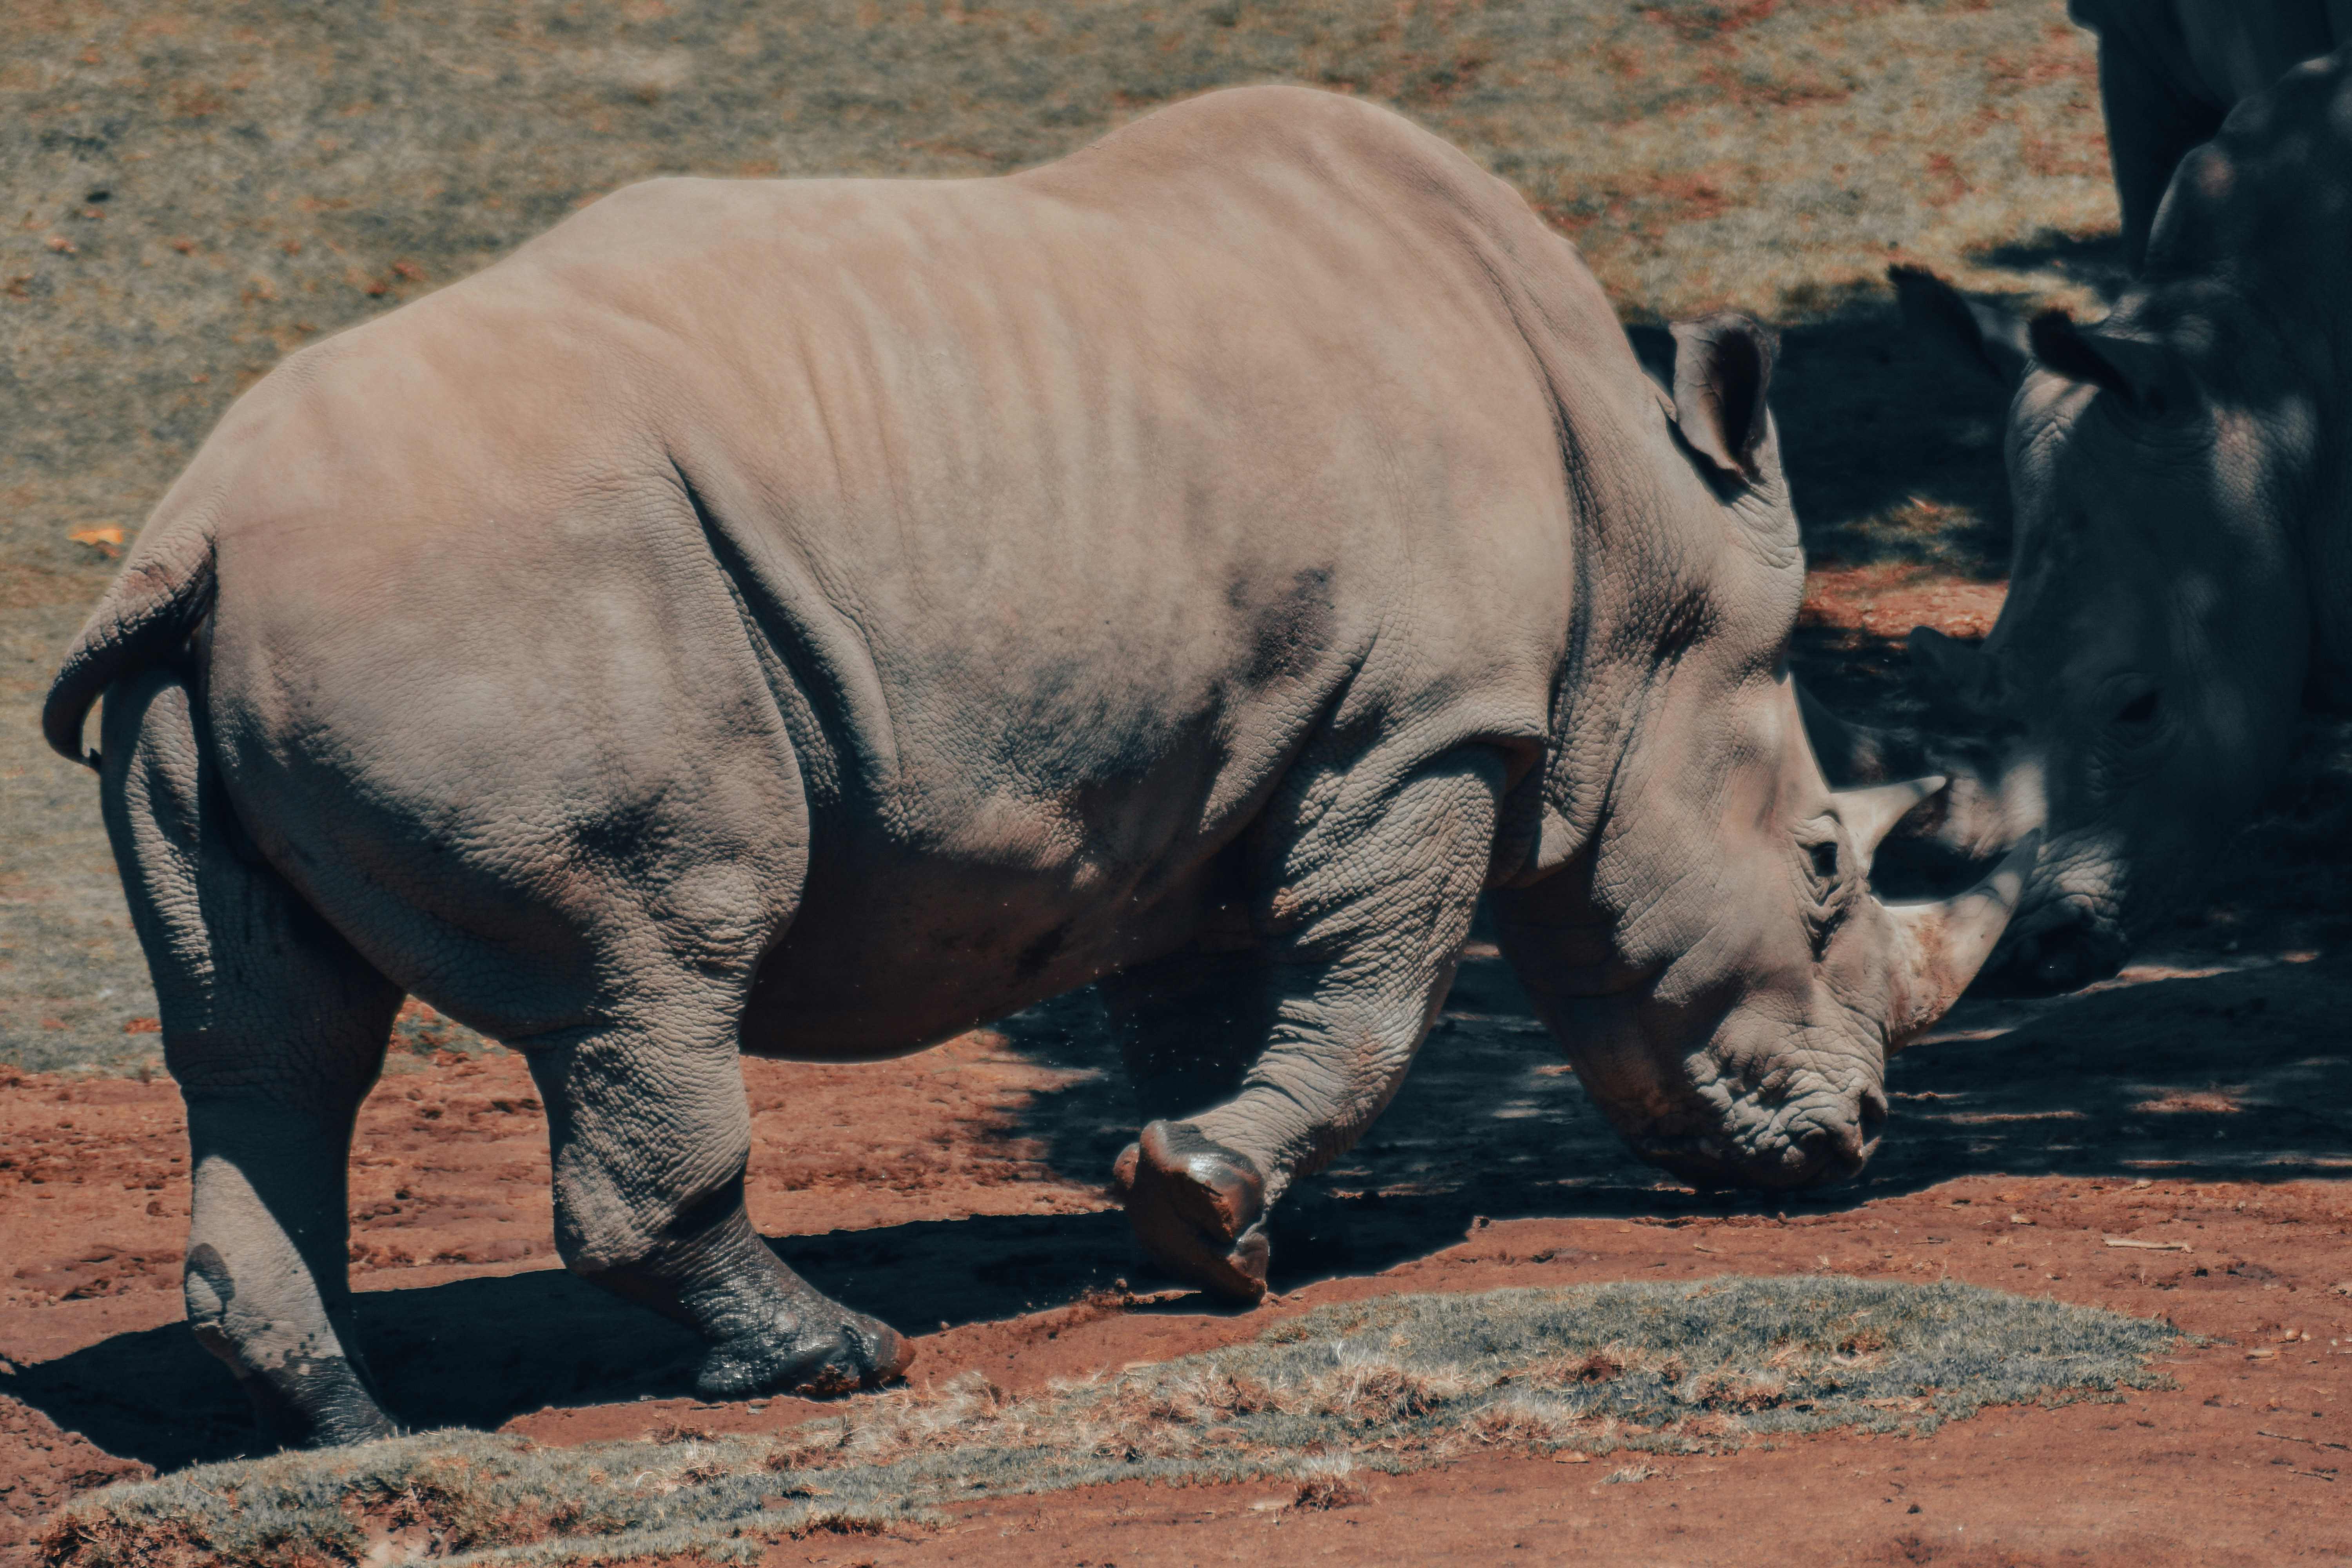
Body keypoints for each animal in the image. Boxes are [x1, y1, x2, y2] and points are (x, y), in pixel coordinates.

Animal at [43, 86, 2024, 1449]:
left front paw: (1207, 1223)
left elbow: (1207, 999)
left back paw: (353, 1427)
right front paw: (1213, 1202)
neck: (1639, 553)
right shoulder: (1426, 726)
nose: (1851, 1143)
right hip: (506, 596)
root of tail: (197, 531)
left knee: (266, 1035)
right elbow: (1378, 998)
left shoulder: (1225, 754)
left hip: (221, 668)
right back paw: (835, 1356)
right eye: (1825, 865)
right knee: (649, 960)